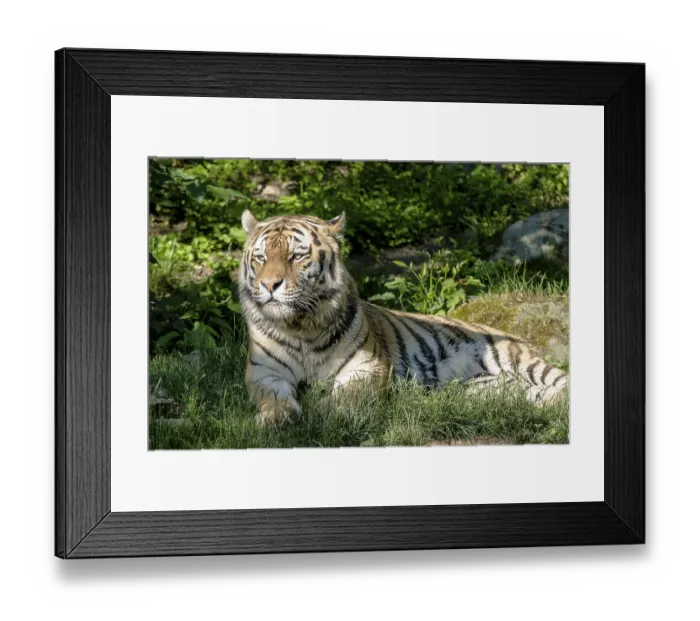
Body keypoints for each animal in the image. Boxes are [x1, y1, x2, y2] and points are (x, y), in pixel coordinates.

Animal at [238, 210, 568, 427]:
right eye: (261, 258)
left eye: (296, 256)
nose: (269, 285)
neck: (301, 325)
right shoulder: (265, 372)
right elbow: (274, 397)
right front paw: (275, 418)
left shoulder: (366, 367)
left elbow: (344, 397)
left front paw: (321, 414)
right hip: (485, 390)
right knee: (525, 394)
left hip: (517, 359)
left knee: (561, 381)